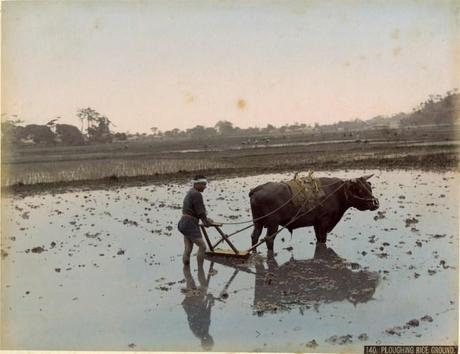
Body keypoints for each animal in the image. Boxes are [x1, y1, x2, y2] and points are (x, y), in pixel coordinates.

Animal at [250, 174, 380, 249]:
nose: (375, 203)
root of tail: (258, 189)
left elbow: (318, 239)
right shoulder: (324, 222)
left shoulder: (316, 224)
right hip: (273, 224)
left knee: (255, 236)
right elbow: (322, 239)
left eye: (369, 187)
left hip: (258, 222)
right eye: (360, 190)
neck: (336, 193)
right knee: (269, 239)